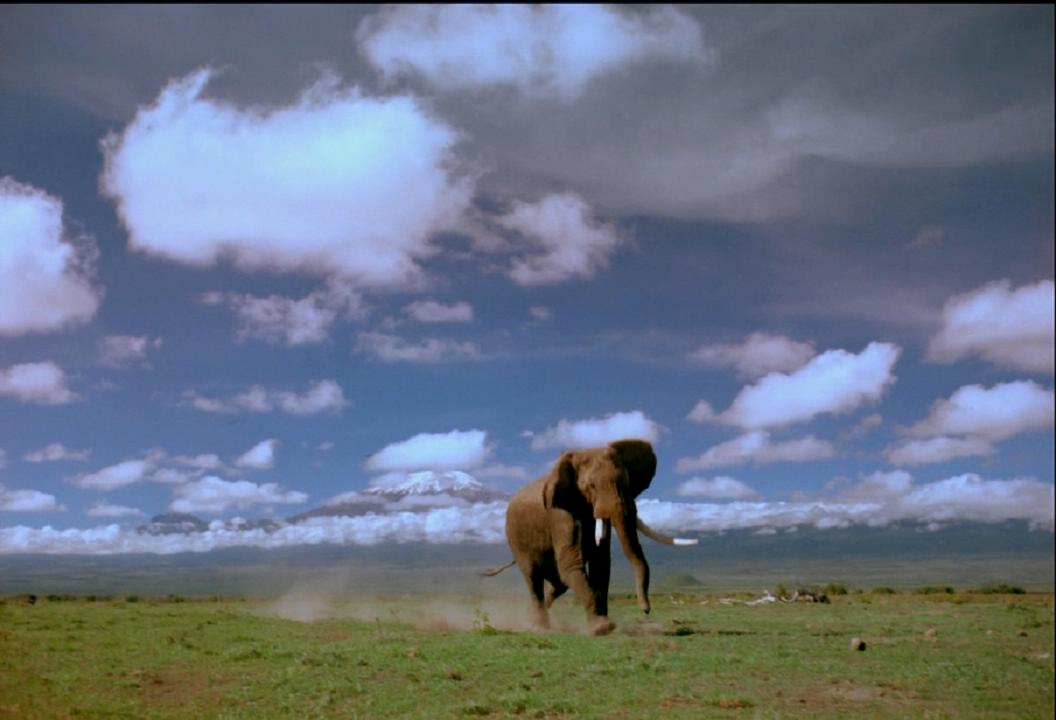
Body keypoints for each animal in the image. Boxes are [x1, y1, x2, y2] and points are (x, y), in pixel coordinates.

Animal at [484, 439, 696, 635]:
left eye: (627, 481)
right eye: (592, 486)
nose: (646, 610)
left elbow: (600, 563)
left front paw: (605, 623)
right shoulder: (560, 513)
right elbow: (571, 563)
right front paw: (602, 628)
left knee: (559, 581)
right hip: (516, 537)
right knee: (533, 576)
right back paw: (539, 627)